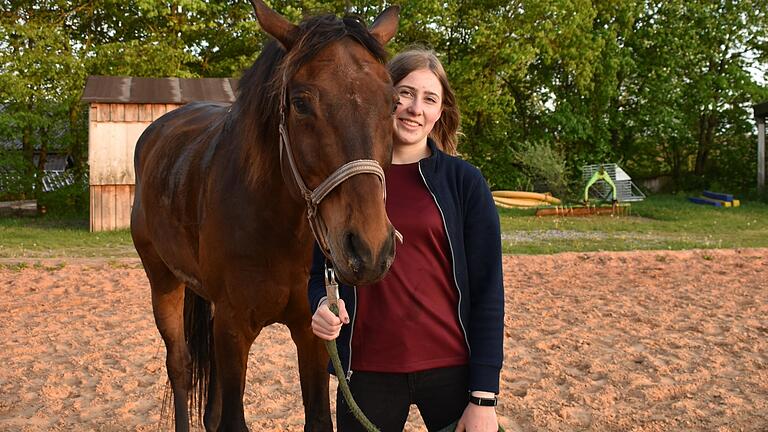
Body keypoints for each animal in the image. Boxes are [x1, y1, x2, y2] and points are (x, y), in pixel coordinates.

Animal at [129, 1, 400, 430]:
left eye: (392, 103)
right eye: (301, 102)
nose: (369, 249)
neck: (278, 230)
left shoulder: (310, 329)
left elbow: (316, 418)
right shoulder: (233, 327)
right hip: (163, 281)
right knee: (180, 366)